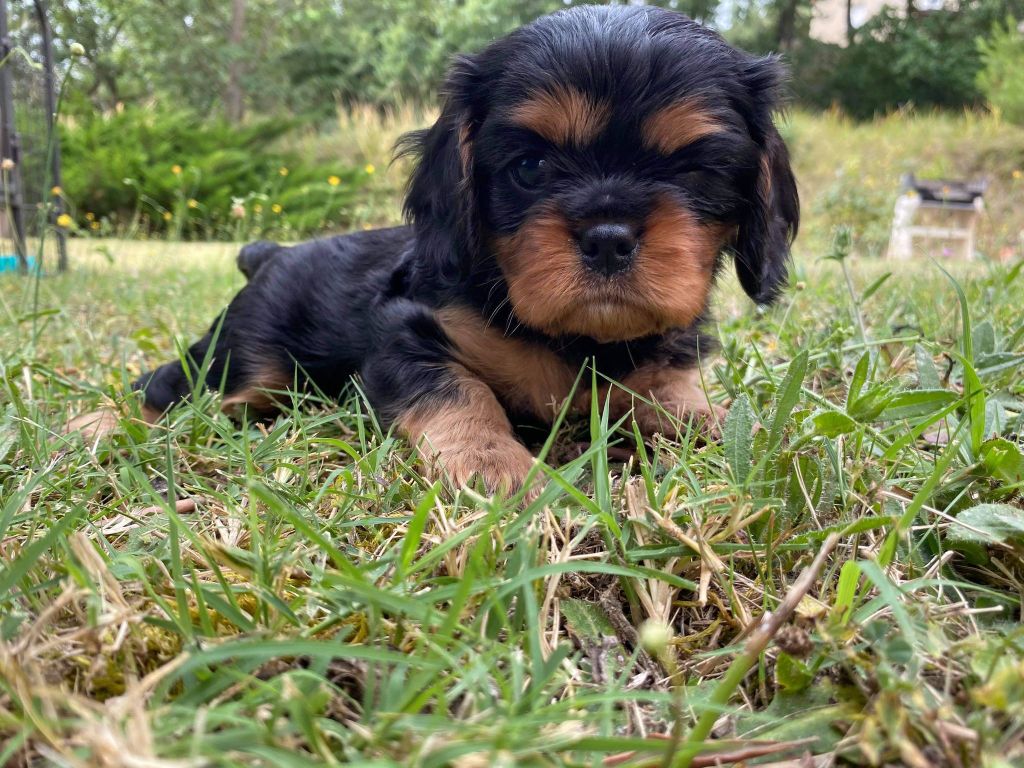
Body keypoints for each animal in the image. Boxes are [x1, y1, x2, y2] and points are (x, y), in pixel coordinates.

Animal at [117, 6, 798, 493]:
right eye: (530, 167)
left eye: (696, 172)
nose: (608, 237)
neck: (575, 338)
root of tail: (271, 253)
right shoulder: (404, 334)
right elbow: (460, 393)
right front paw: (497, 465)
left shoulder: (661, 363)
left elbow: (682, 402)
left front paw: (744, 430)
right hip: (242, 357)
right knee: (167, 387)